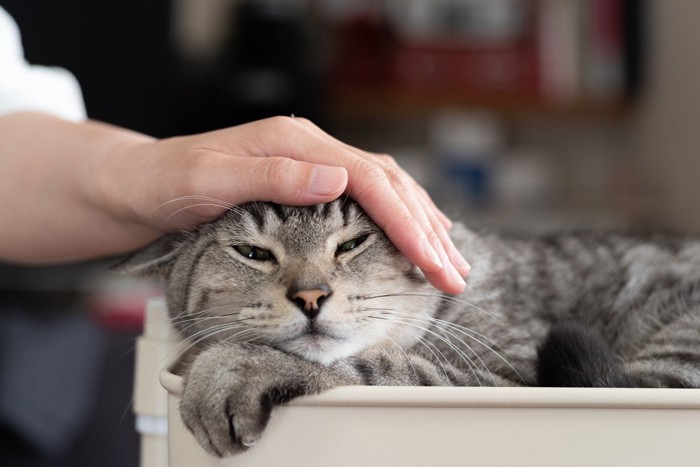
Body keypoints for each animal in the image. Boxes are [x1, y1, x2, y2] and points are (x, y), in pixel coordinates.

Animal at [115, 197, 700, 458]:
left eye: (352, 244)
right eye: (252, 253)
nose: (311, 296)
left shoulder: (509, 376)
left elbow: (375, 365)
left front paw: (227, 369)